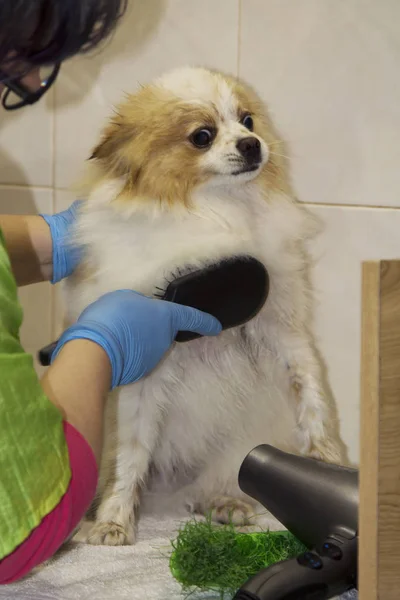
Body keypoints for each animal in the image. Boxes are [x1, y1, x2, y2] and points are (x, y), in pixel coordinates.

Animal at [64, 67, 348, 548]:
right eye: (202, 136)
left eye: (248, 120)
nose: (251, 144)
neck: (217, 211)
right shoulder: (143, 379)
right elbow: (129, 458)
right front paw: (114, 521)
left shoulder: (283, 331)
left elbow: (311, 394)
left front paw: (325, 455)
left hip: (237, 451)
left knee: (217, 481)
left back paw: (224, 502)